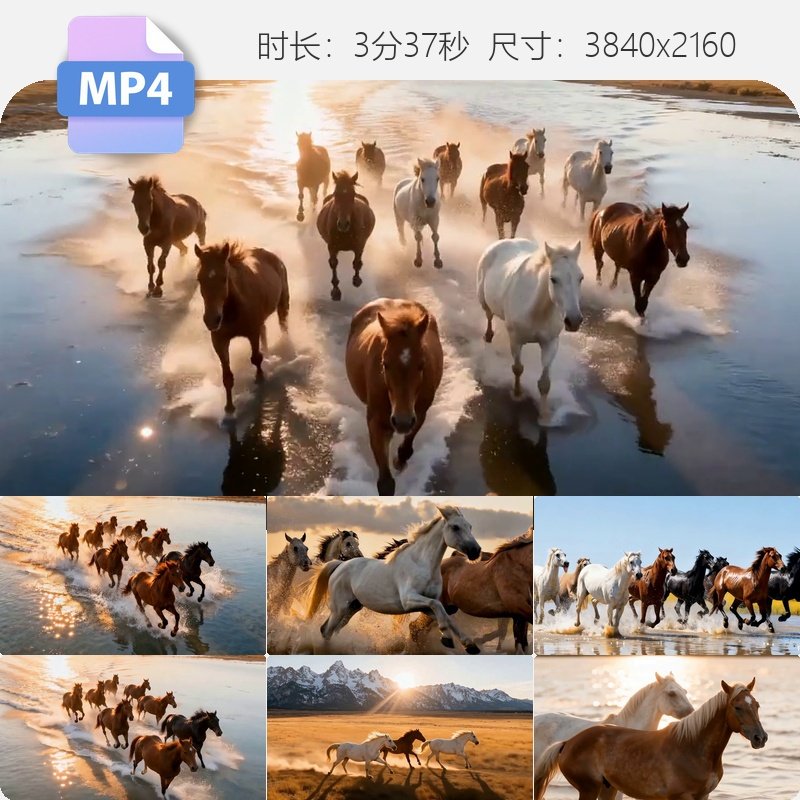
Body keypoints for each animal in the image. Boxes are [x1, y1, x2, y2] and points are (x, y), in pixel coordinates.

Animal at [195, 241, 290, 416]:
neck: (233, 310)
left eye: (224, 278)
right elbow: (227, 376)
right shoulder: (219, 341)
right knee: (264, 331)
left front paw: (260, 379)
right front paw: (229, 408)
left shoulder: (252, 332)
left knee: (283, 325)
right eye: (199, 279)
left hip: (283, 303)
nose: (211, 320)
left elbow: (256, 358)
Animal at [307, 507, 483, 652]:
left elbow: (444, 614)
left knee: (327, 630)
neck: (420, 563)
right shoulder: (409, 600)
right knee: (327, 631)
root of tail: (340, 565)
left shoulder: (424, 605)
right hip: (340, 608)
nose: (476, 551)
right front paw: (447, 638)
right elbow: (437, 605)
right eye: (455, 527)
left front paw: (469, 644)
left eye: (470, 527)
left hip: (352, 608)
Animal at [317, 170, 376, 301]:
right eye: (336, 194)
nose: (343, 224)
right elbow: (333, 263)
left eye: (352, 194)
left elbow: (357, 262)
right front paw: (335, 291)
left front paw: (356, 280)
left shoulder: (359, 244)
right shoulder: (332, 247)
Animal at [345, 298, 443, 496]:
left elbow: (407, 447)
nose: (402, 421)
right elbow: (385, 483)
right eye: (385, 363)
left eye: (422, 364)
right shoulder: (377, 423)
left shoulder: (419, 414)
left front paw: (400, 461)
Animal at [478, 238, 583, 416]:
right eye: (553, 279)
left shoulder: (550, 343)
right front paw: (517, 394)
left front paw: (544, 414)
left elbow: (544, 383)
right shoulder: (515, 340)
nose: (574, 320)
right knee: (489, 315)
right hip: (483, 300)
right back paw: (489, 334)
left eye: (580, 278)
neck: (537, 310)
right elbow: (518, 368)